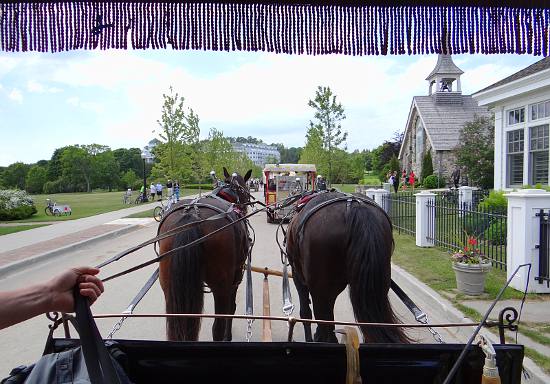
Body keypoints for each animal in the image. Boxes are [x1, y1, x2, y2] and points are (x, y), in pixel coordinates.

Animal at [157, 168, 252, 342]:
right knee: (218, 327)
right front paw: (228, 336)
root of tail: (192, 217)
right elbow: (232, 307)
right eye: (245, 189)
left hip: (168, 284)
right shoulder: (236, 276)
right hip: (221, 285)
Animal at [286, 190, 412, 344]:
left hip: (320, 289)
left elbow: (305, 313)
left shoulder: (298, 276)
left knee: (325, 327)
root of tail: (355, 207)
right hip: (379, 286)